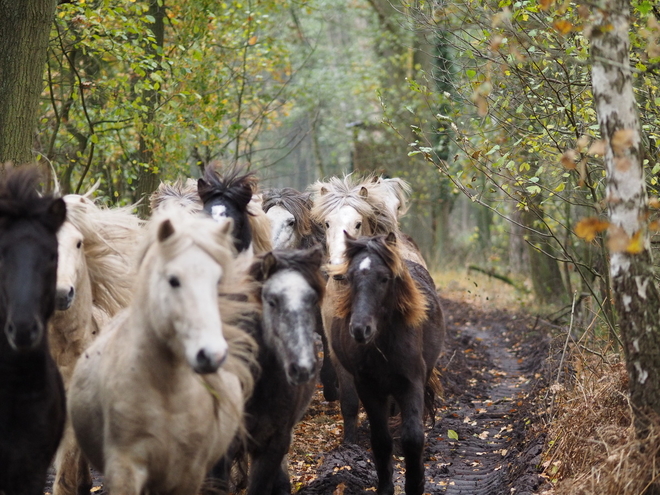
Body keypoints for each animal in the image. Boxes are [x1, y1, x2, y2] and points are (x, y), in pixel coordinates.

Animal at [68, 208, 256, 495]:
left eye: (217, 281)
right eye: (173, 280)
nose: (211, 355)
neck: (167, 395)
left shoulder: (188, 474)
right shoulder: (125, 468)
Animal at [328, 233, 444, 495]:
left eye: (384, 278)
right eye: (349, 277)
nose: (359, 329)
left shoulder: (411, 384)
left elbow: (413, 437)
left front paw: (416, 483)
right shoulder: (368, 388)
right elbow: (380, 441)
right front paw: (386, 487)